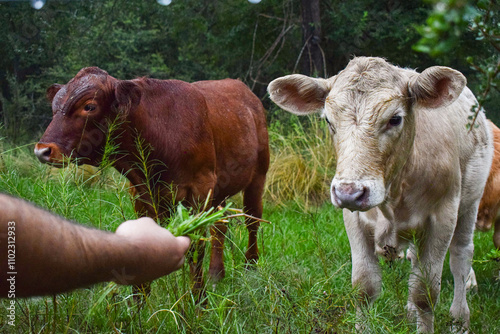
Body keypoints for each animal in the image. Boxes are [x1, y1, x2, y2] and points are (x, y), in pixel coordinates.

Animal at [34, 67, 270, 292]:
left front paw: (199, 299)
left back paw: (251, 267)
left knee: (252, 219)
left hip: (258, 175)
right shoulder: (140, 193)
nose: (43, 150)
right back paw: (216, 275)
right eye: (54, 106)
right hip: (220, 189)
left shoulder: (199, 191)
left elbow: (196, 248)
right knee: (220, 224)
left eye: (89, 106)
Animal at [270, 56, 492, 332]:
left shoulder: (443, 217)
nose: (349, 193)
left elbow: (425, 293)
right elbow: (364, 288)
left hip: (470, 204)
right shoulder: (354, 219)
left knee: (461, 257)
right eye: (329, 121)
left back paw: (460, 319)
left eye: (395, 119)